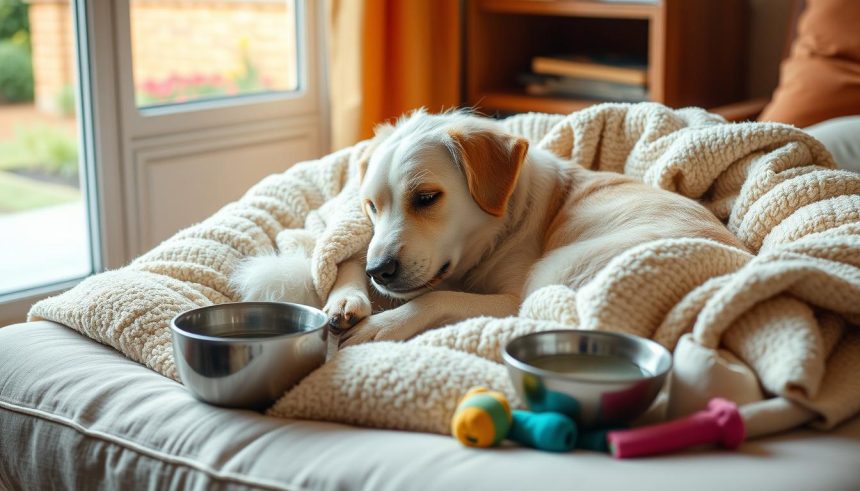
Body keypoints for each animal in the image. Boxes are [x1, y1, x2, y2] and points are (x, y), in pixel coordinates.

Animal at [230, 110, 744, 350]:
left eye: (426, 198)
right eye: (371, 206)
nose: (381, 271)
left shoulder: (507, 299)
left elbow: (434, 297)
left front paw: (381, 325)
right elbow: (348, 258)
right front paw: (346, 300)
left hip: (551, 277)